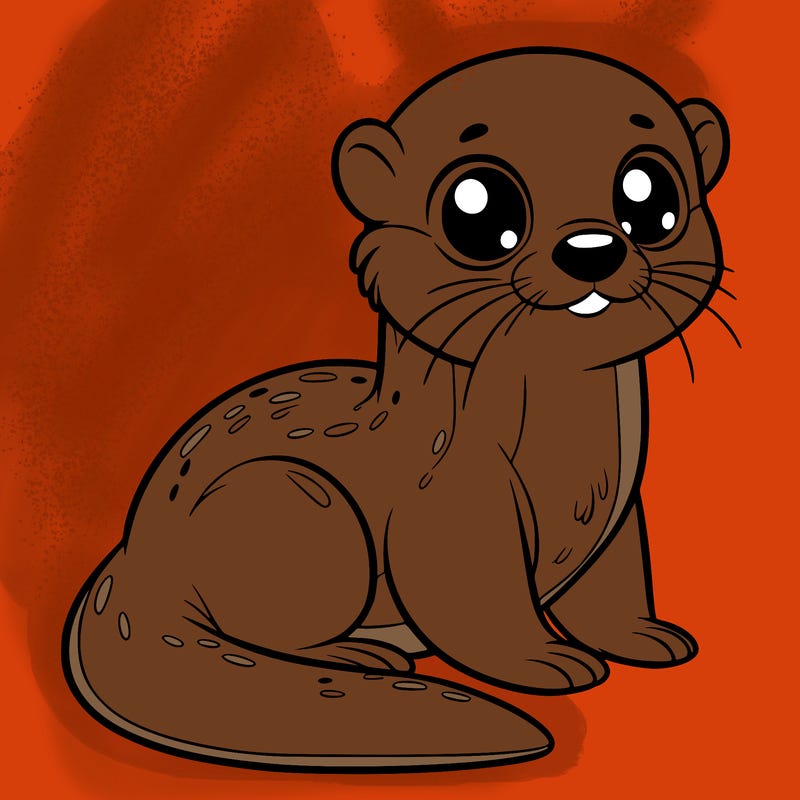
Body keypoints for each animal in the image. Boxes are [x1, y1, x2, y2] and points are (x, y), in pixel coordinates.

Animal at [63, 48, 729, 771]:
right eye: (478, 208)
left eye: (651, 195)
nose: (592, 250)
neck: (577, 466)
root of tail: (133, 557)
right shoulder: (453, 501)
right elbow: (476, 605)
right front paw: (545, 661)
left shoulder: (618, 512)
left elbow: (611, 588)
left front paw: (644, 636)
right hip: (294, 502)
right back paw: (362, 653)